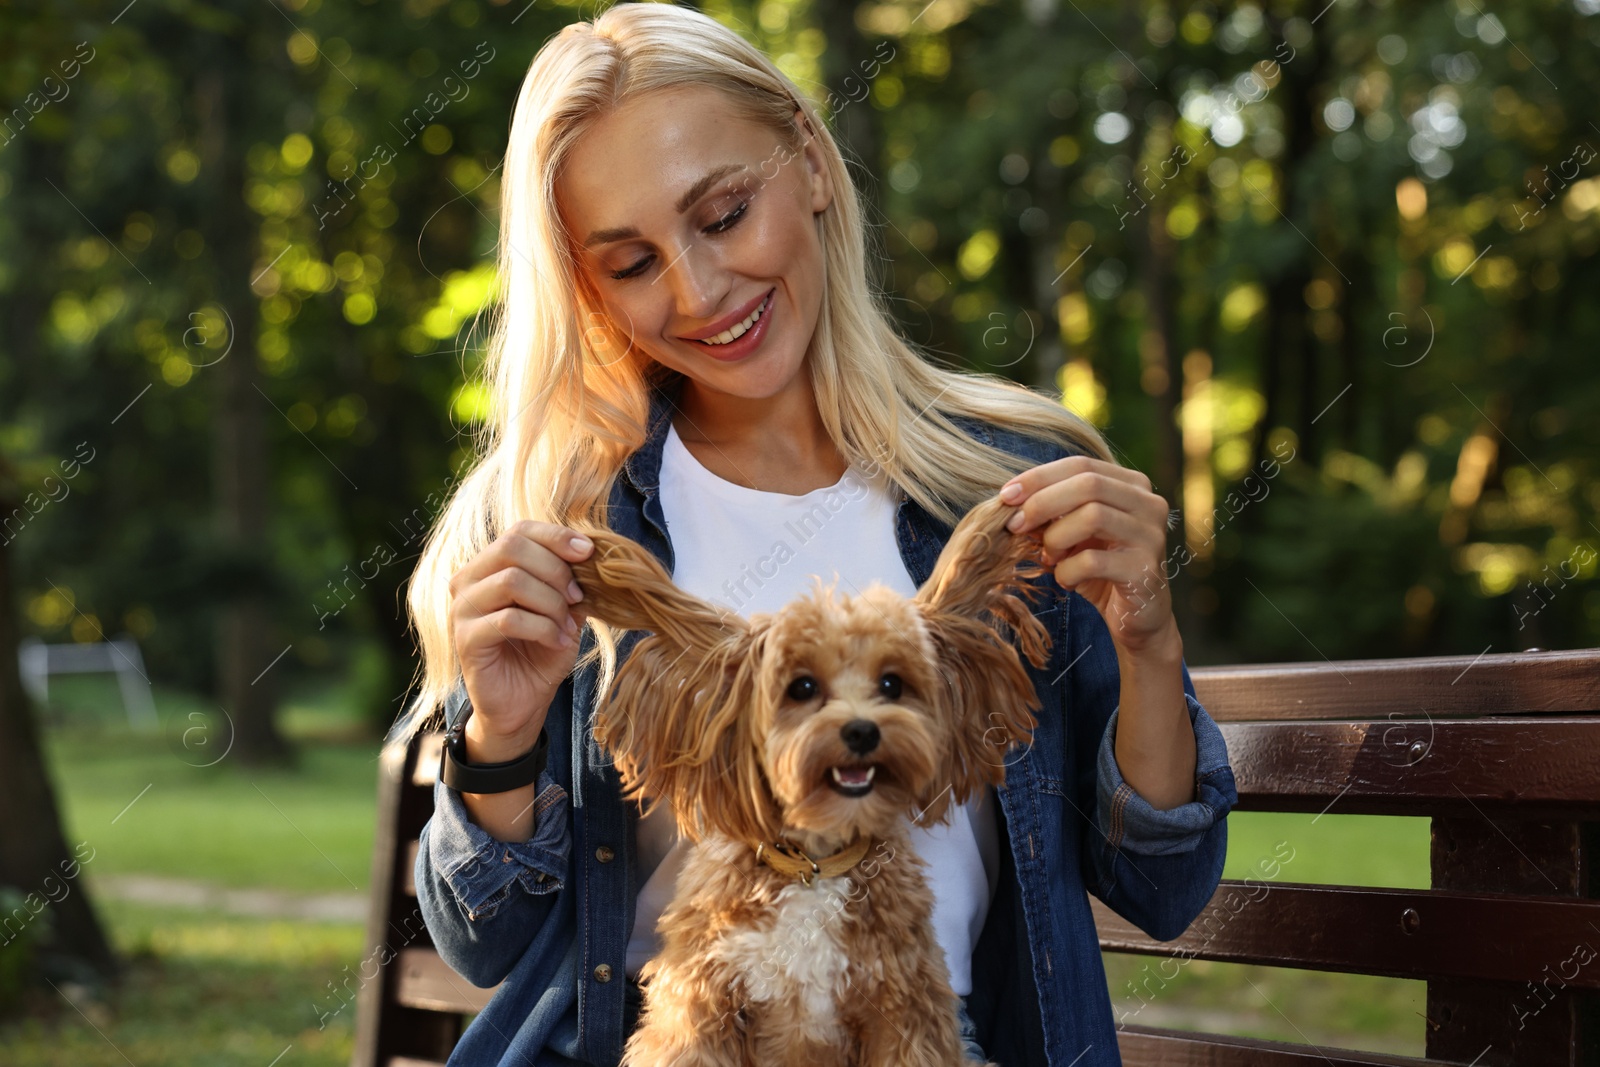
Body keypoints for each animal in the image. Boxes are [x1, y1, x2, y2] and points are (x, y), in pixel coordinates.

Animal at [569, 499, 1056, 1067]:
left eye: (892, 683)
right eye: (801, 687)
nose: (862, 730)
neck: (815, 865)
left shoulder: (907, 1012)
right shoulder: (698, 1006)